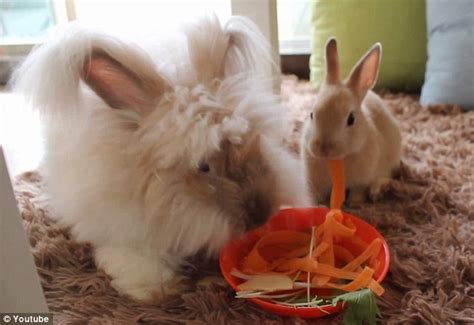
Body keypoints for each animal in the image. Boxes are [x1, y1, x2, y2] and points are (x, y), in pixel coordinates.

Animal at [12, 15, 310, 302]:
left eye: (254, 144)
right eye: (203, 166)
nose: (261, 215)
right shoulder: (125, 232)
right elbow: (138, 264)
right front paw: (162, 290)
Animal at [304, 38, 400, 205]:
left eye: (351, 119)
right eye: (311, 114)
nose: (324, 148)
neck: (337, 160)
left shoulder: (361, 181)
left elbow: (358, 191)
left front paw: (354, 203)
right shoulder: (315, 181)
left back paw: (378, 191)